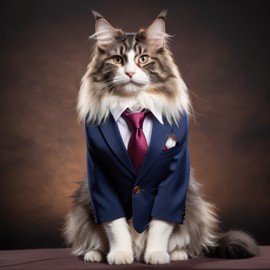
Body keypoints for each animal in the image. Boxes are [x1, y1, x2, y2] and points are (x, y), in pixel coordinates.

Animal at [62, 11, 258, 266]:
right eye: (117, 60)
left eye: (143, 59)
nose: (130, 73)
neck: (134, 106)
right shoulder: (100, 174)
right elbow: (115, 225)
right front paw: (120, 255)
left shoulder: (173, 178)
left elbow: (160, 225)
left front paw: (156, 255)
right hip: (83, 203)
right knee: (93, 238)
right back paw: (95, 254)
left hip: (194, 203)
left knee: (188, 241)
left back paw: (177, 253)